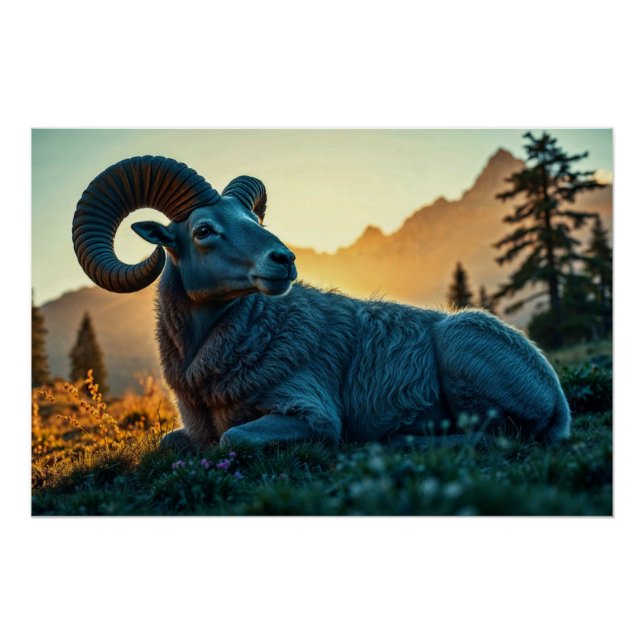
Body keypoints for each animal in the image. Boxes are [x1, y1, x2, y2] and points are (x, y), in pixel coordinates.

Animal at [72, 155, 571, 451]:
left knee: (494, 434)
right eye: (203, 230)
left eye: (255, 219)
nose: (284, 259)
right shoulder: (192, 430)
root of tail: (557, 399)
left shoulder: (312, 414)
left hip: (463, 356)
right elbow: (168, 443)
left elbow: (232, 438)